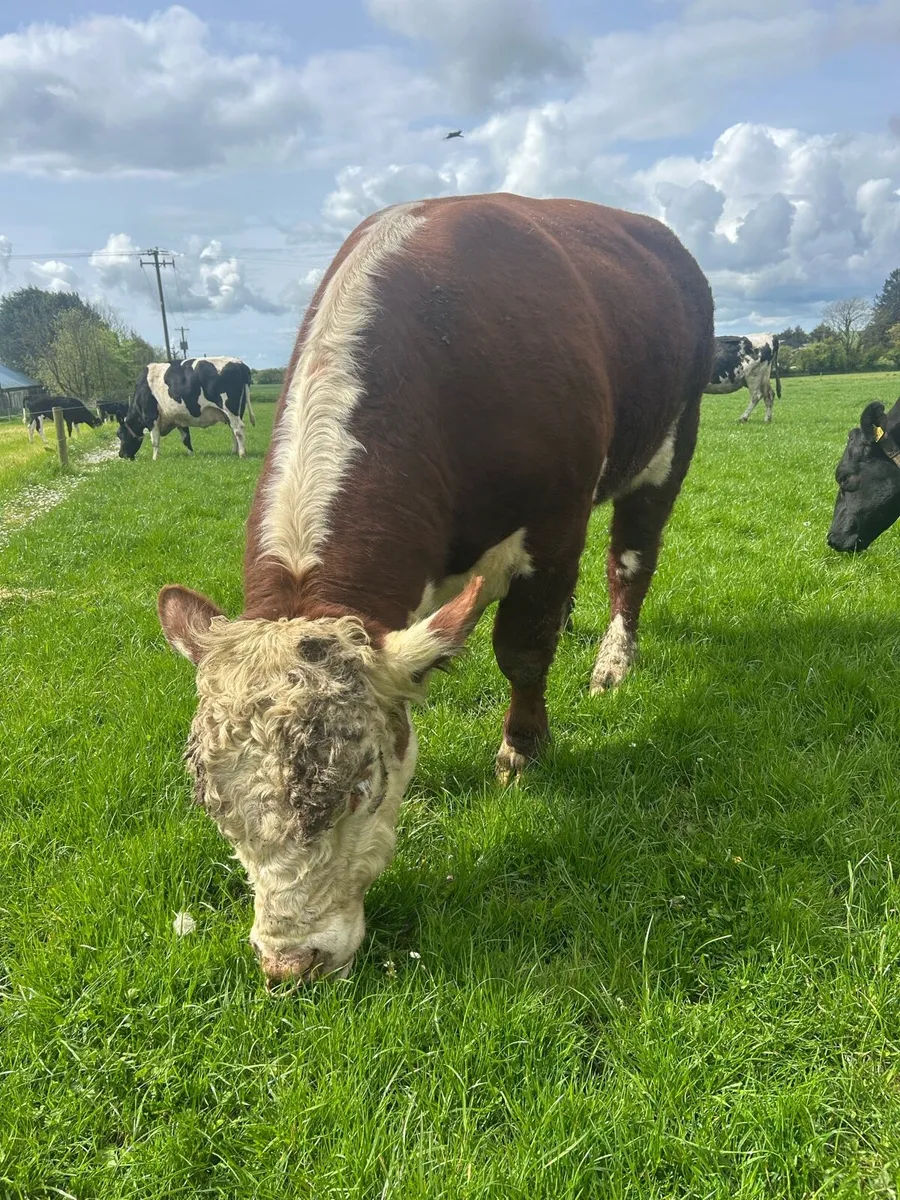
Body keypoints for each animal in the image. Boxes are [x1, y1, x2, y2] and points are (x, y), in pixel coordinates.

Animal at [117, 357, 254, 460]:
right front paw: (191, 454)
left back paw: (242, 454)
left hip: (229, 407)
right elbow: (186, 439)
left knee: (238, 429)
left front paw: (155, 458)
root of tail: (238, 362)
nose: (121, 454)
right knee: (233, 430)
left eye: (119, 434)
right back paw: (234, 451)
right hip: (237, 410)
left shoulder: (151, 417)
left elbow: (155, 440)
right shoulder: (179, 418)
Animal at [155, 193, 715, 987]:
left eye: (359, 786)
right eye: (212, 805)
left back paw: (612, 662)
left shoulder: (555, 520)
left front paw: (523, 750)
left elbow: (522, 649)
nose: (290, 962)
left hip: (669, 443)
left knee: (631, 562)